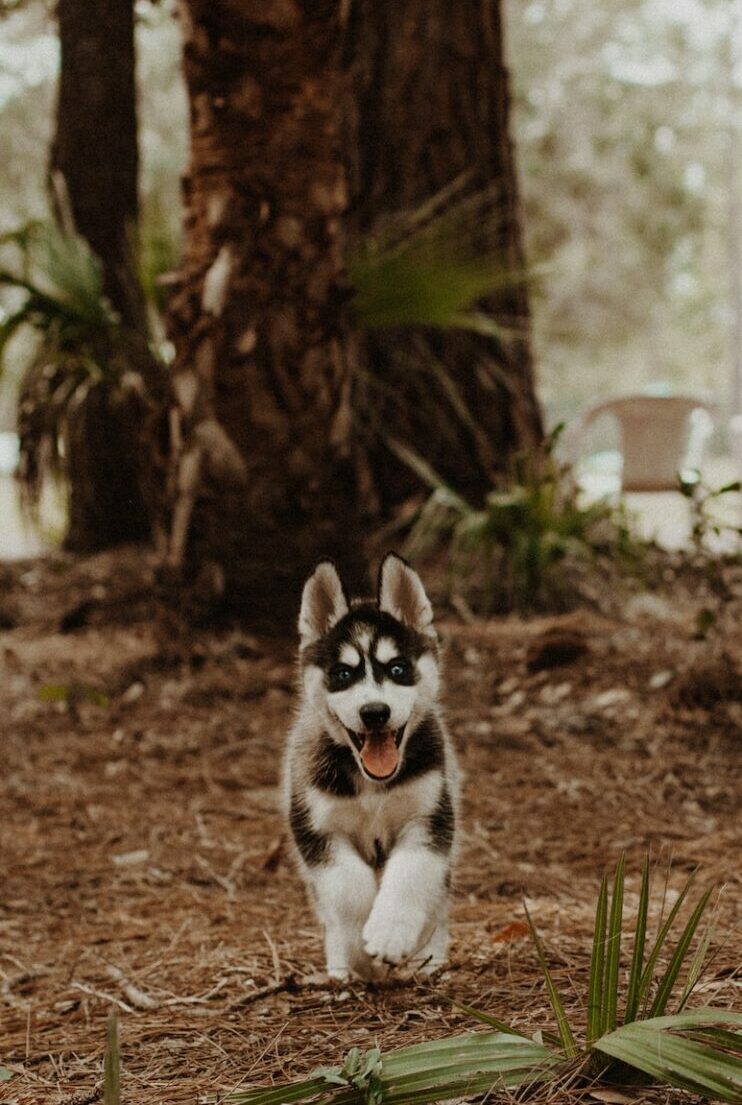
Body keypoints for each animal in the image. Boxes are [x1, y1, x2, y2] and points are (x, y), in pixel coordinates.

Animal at [285, 556, 457, 981]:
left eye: (397, 669)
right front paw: (360, 950)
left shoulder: (428, 818)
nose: (374, 712)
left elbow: (410, 875)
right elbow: (347, 888)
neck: (372, 786)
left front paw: (389, 935)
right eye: (343, 674)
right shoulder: (317, 828)